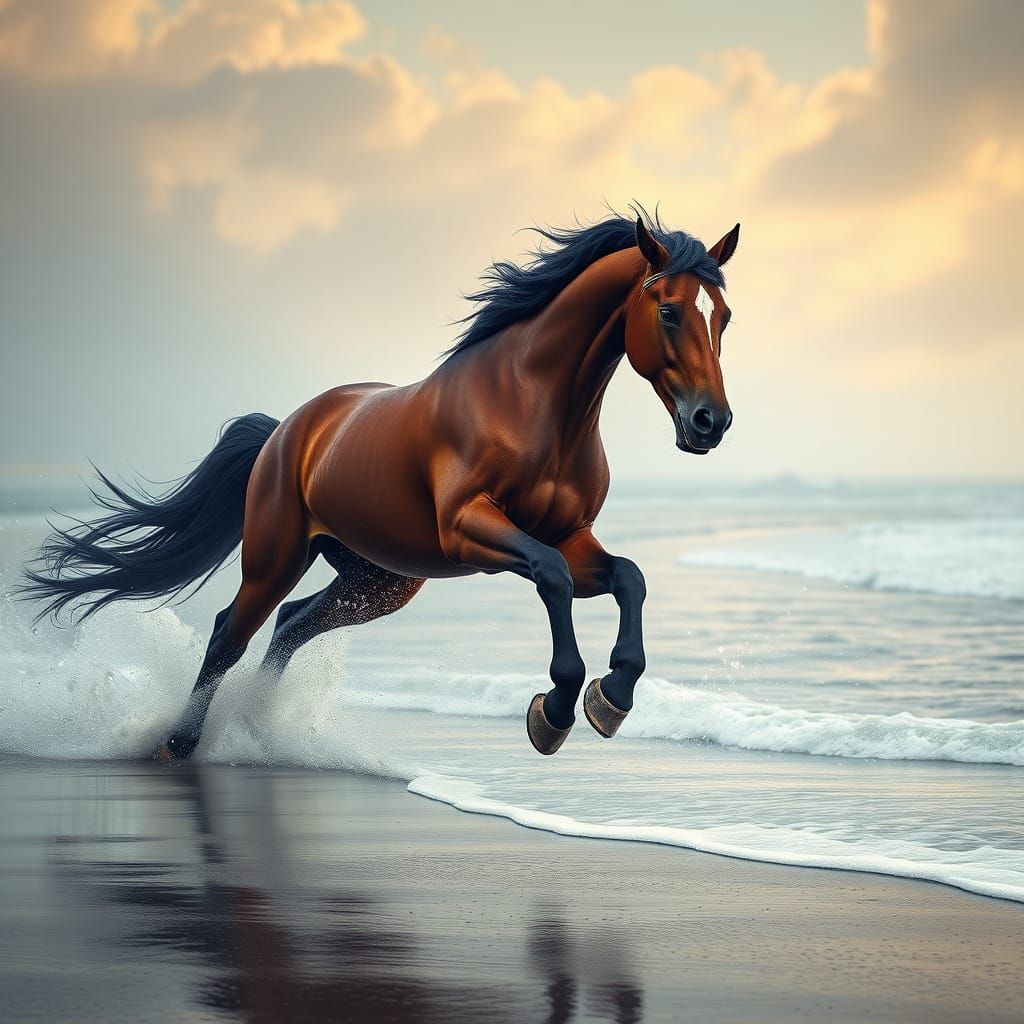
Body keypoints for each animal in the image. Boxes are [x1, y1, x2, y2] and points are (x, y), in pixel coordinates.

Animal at [19, 210, 739, 759]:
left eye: (724, 316)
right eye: (669, 312)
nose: (711, 422)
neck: (534, 406)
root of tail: (287, 431)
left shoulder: (573, 536)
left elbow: (629, 578)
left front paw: (611, 698)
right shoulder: (471, 530)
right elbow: (553, 577)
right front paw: (556, 710)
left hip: (378, 579)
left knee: (292, 623)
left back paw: (258, 727)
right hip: (279, 555)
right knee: (231, 632)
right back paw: (182, 741)